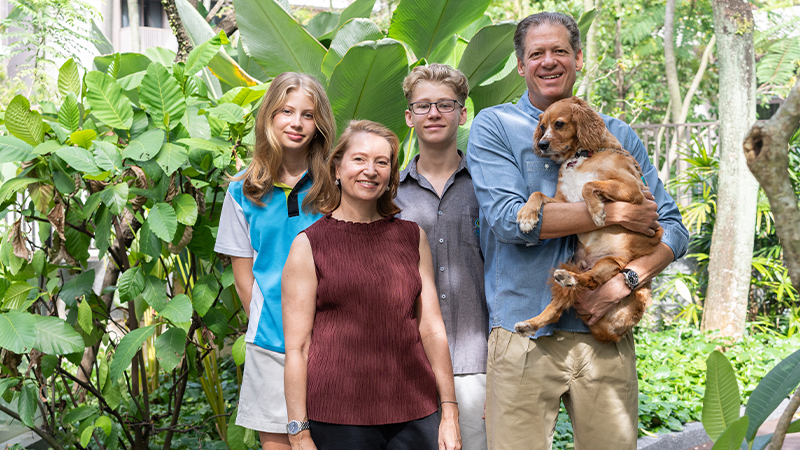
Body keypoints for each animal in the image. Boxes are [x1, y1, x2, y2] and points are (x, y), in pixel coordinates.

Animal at [512, 96, 664, 342]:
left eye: (559, 124)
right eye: (542, 127)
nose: (542, 145)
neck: (580, 156)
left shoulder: (633, 189)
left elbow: (588, 185)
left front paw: (597, 211)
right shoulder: (563, 201)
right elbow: (537, 194)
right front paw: (527, 216)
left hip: (610, 263)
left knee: (591, 280)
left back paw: (571, 279)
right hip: (571, 265)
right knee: (555, 310)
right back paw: (529, 324)